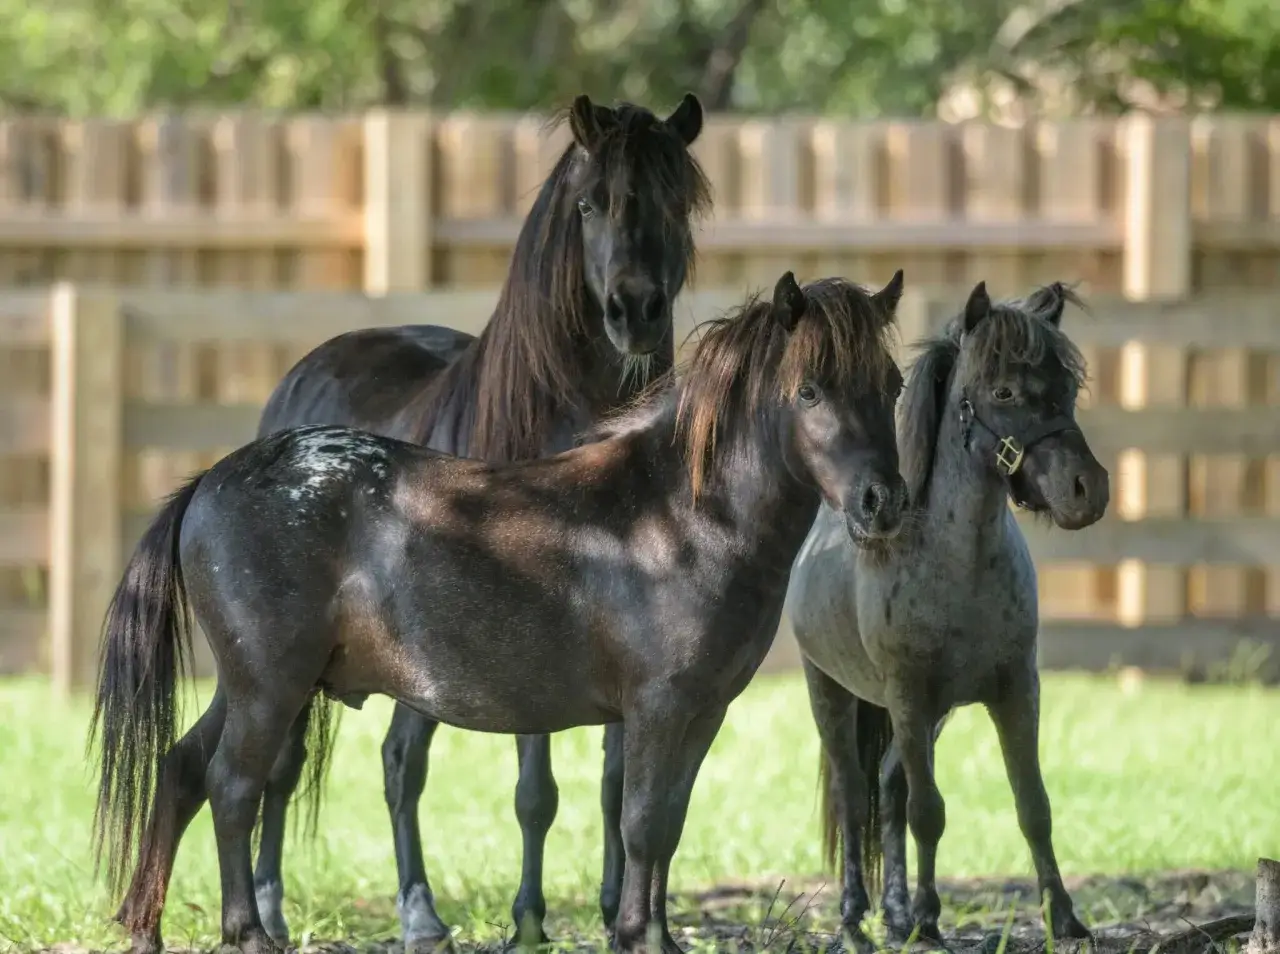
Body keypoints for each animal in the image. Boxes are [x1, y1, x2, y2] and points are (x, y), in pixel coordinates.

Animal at [89, 268, 910, 954]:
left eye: (894, 384)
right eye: (809, 391)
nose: (884, 502)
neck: (679, 517)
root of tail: (211, 479)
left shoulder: (702, 712)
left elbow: (666, 826)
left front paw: (656, 936)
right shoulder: (657, 709)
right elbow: (642, 824)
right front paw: (636, 938)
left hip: (250, 688)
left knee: (183, 770)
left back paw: (148, 929)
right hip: (270, 690)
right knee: (232, 786)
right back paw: (250, 935)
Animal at [97, 93, 712, 954]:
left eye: (676, 202)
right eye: (589, 204)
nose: (636, 312)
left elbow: (619, 781)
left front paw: (611, 906)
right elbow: (533, 790)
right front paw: (528, 918)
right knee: (308, 768)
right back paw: (325, 909)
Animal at [784, 280, 1110, 952]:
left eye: (1067, 385)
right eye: (1003, 391)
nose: (1086, 489)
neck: (956, 566)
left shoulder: (1015, 691)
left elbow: (1033, 806)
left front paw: (1064, 918)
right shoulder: (909, 697)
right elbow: (928, 813)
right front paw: (931, 921)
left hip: (928, 718)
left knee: (888, 787)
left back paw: (895, 913)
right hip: (832, 692)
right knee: (855, 793)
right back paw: (855, 919)